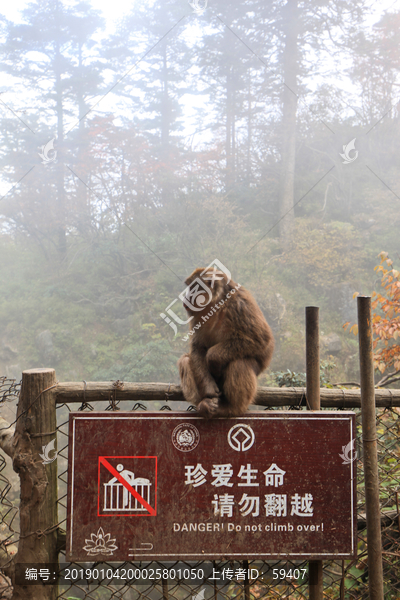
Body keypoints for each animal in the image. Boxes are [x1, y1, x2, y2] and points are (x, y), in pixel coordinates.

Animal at [179, 268, 276, 418]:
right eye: (190, 287)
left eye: (194, 287)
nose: (187, 298)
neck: (216, 304)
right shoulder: (196, 316)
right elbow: (198, 347)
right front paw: (209, 389)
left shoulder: (240, 304)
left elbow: (260, 339)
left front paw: (213, 359)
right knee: (185, 360)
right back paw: (204, 404)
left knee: (240, 363)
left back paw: (231, 408)